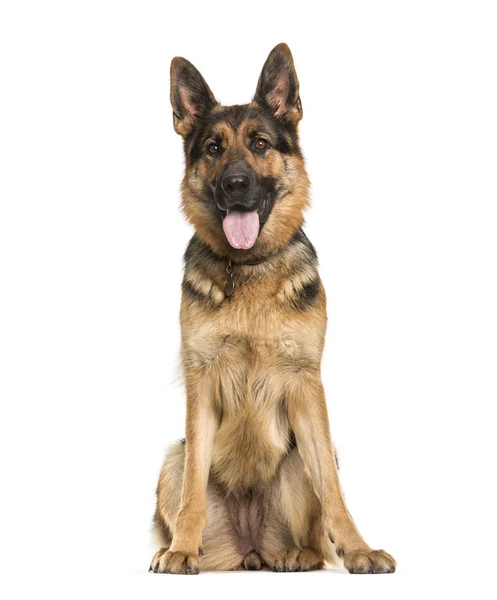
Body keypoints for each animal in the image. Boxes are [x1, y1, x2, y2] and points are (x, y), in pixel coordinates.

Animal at [149, 43, 394, 576]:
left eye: (260, 144)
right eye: (213, 148)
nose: (236, 183)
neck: (249, 269)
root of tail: (251, 546)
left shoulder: (306, 385)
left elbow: (334, 494)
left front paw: (358, 549)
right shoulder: (201, 386)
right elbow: (194, 482)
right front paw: (182, 548)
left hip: (300, 459)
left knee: (316, 523)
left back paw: (298, 553)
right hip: (171, 457)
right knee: (183, 477)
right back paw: (175, 546)